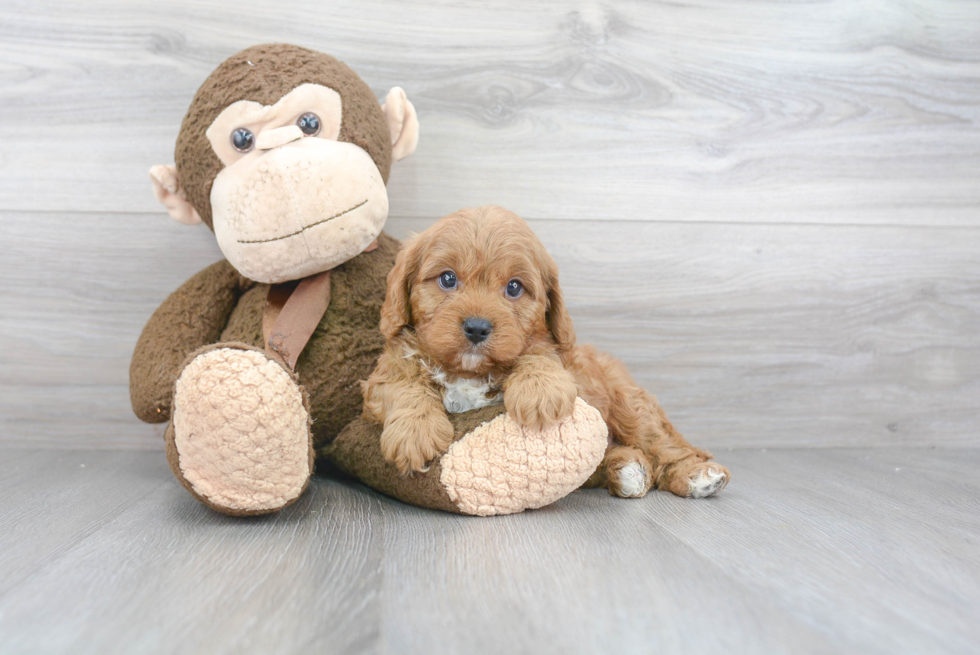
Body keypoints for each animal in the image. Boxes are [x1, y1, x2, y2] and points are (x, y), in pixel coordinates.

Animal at [364, 208, 732, 500]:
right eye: (447, 279)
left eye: (514, 287)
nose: (477, 328)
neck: (469, 372)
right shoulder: (385, 373)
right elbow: (403, 386)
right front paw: (415, 432)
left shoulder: (565, 361)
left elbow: (540, 354)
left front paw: (539, 392)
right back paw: (628, 469)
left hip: (631, 404)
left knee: (665, 444)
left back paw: (696, 476)